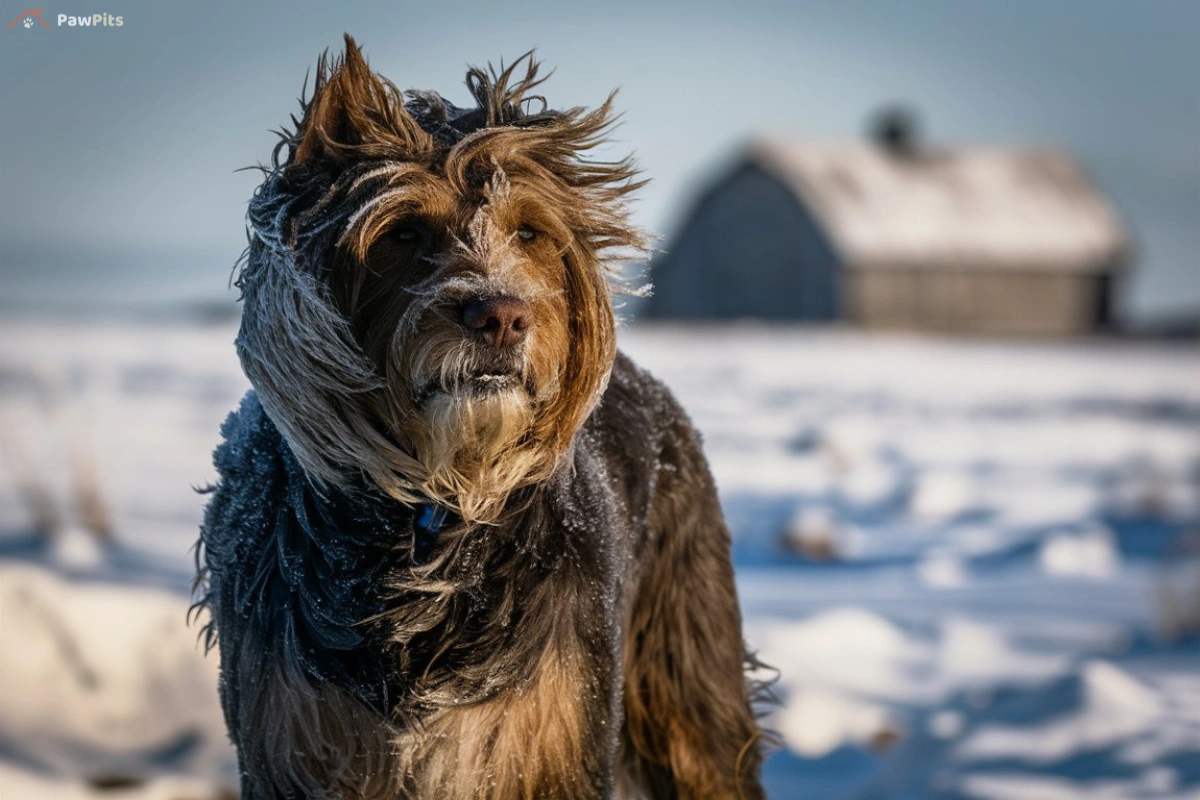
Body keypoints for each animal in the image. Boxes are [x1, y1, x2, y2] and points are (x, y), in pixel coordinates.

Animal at [192, 35, 763, 800]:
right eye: (404, 231)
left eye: (528, 231)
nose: (502, 315)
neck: (430, 516)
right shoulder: (292, 741)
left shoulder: (552, 738)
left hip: (689, 687)